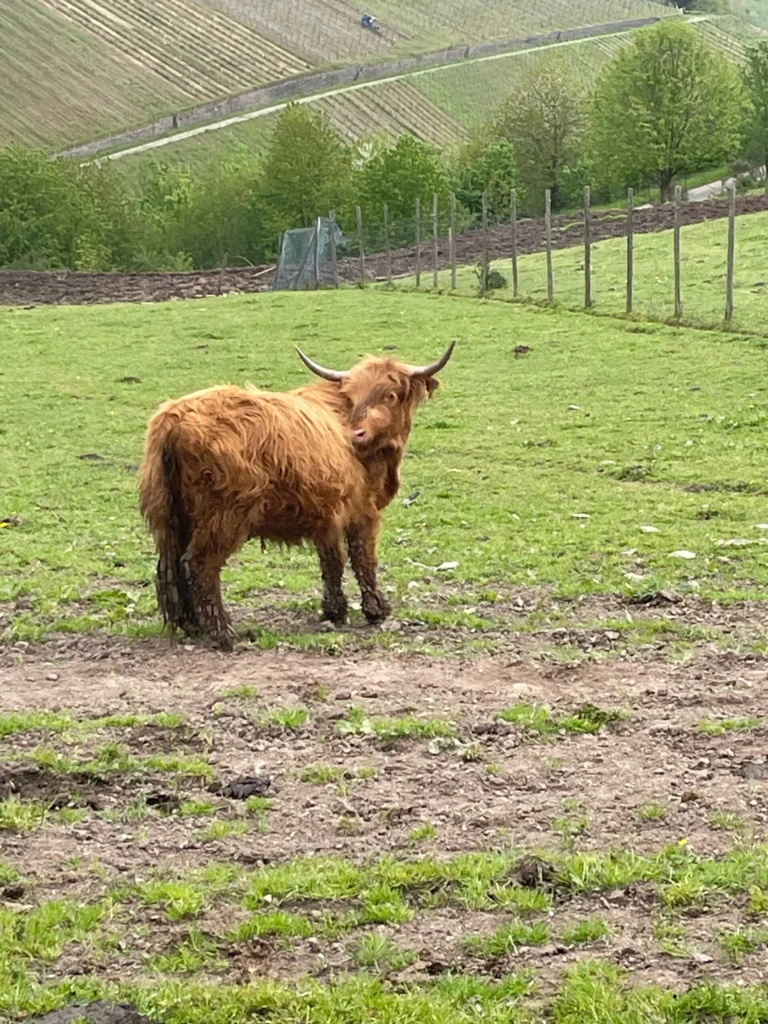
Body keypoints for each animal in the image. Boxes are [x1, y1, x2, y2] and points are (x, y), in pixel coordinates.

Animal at [137, 342, 456, 647]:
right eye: (352, 396)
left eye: (390, 395)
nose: (357, 435)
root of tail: (175, 420)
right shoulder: (363, 511)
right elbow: (363, 559)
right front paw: (376, 610)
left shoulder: (327, 511)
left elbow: (332, 560)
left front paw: (334, 611)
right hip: (223, 517)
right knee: (199, 566)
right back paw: (222, 633)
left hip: (170, 518)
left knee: (170, 567)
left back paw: (192, 627)